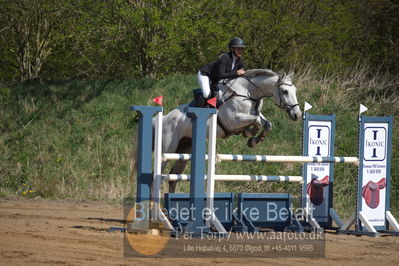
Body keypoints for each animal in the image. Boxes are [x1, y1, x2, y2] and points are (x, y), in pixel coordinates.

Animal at [133, 69, 302, 192]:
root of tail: (164, 118)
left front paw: (253, 138)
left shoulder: (251, 116)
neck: (246, 93)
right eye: (285, 92)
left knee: (173, 178)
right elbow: (258, 121)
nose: (297, 115)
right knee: (156, 176)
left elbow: (266, 123)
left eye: (295, 91)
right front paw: (252, 135)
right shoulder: (233, 120)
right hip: (167, 149)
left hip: (184, 151)